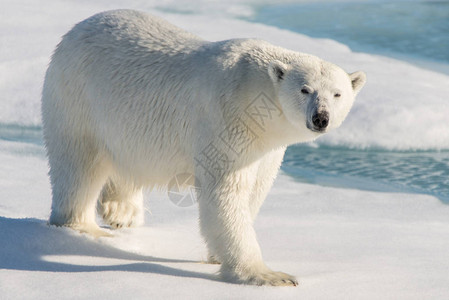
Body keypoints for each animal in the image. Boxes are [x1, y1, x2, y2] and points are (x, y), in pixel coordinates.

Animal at [42, 9, 364, 286]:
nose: (321, 118)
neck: (254, 92)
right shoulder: (229, 120)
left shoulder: (267, 147)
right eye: (305, 89)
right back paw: (84, 227)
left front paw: (216, 256)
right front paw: (269, 275)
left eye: (337, 93)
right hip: (77, 97)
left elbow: (256, 190)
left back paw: (121, 211)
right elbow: (226, 194)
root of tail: (76, 29)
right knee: (79, 165)